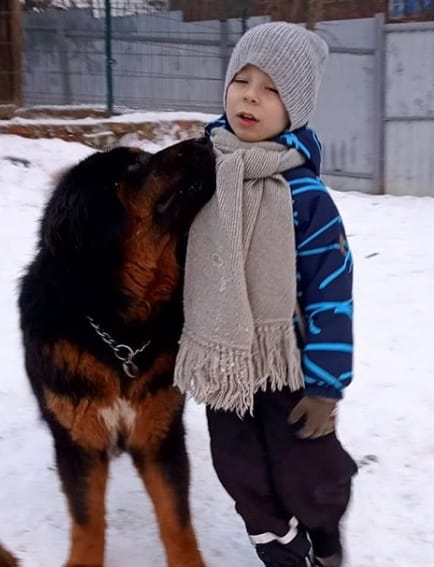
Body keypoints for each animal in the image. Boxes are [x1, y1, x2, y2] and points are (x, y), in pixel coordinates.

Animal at [18, 139, 215, 567]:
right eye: (134, 166)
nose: (205, 139)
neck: (120, 329)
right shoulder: (80, 441)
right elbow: (88, 520)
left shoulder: (158, 436)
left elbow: (177, 522)